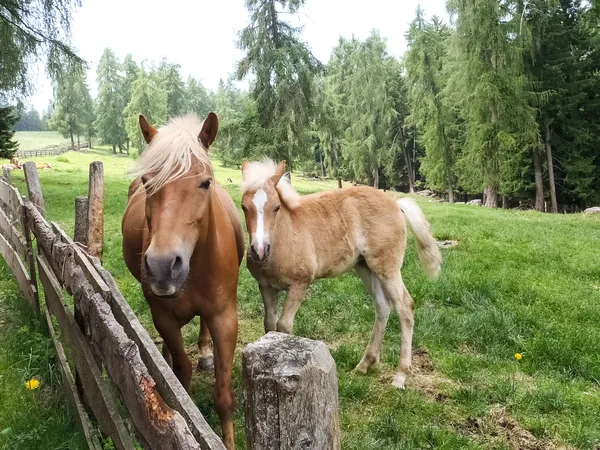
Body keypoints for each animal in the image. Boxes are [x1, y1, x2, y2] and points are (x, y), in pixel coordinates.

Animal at [122, 113, 244, 450]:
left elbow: (224, 394)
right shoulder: (163, 316)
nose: (162, 266)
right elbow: (182, 375)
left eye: (205, 183)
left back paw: (204, 353)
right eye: (148, 183)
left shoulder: (225, 318)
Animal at [239, 160, 440, 388]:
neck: (285, 236)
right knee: (383, 306)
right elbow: (269, 325)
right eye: (244, 207)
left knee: (405, 306)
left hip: (387, 266)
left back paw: (399, 377)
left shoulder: (300, 284)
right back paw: (364, 364)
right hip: (365, 267)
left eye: (276, 207)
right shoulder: (266, 287)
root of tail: (396, 203)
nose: (259, 251)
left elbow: (283, 326)